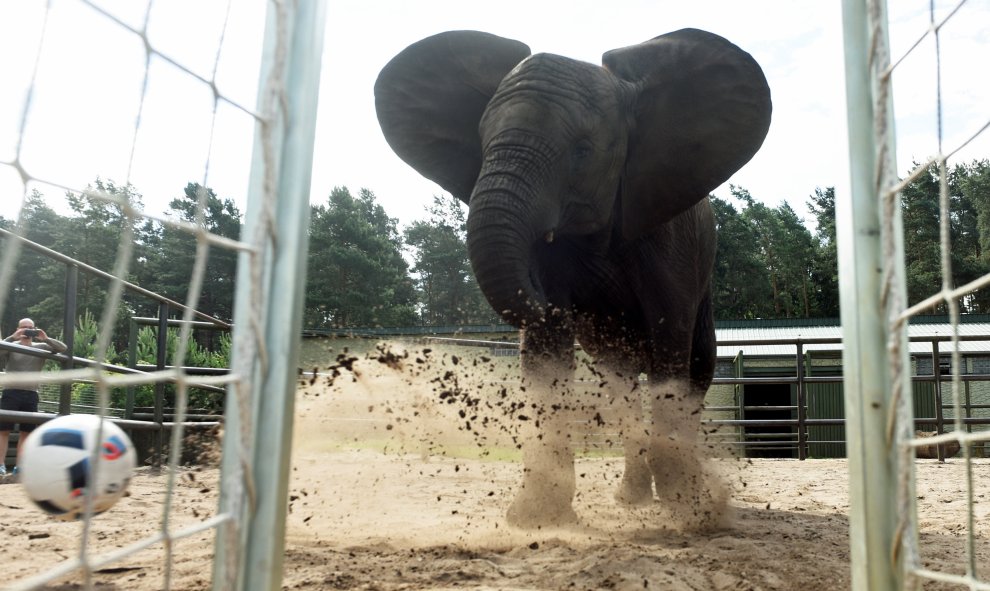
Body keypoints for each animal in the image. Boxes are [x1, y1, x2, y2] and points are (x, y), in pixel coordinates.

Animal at [376, 27, 772, 528]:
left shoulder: (669, 233)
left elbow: (670, 339)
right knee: (621, 384)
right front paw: (535, 518)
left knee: (697, 366)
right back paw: (632, 499)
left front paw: (687, 512)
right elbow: (546, 355)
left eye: (582, 152)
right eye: (481, 141)